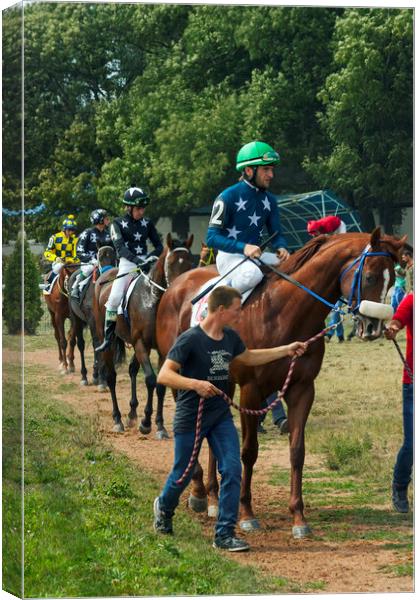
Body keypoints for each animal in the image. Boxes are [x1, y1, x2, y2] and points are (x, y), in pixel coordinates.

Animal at [68, 245, 116, 390]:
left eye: (114, 256)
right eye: (100, 257)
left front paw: (101, 377)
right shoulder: (92, 320)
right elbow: (97, 344)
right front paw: (101, 379)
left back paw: (95, 374)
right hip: (76, 319)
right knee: (81, 344)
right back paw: (84, 376)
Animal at [94, 233, 194, 436]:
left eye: (191, 263)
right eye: (171, 264)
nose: (181, 290)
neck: (153, 298)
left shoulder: (163, 349)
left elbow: (161, 385)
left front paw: (160, 425)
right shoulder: (141, 343)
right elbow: (150, 379)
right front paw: (146, 422)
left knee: (132, 369)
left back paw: (132, 414)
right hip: (108, 340)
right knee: (111, 377)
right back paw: (118, 419)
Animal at [156, 231, 406, 540]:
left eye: (392, 281)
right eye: (370, 277)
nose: (373, 327)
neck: (282, 312)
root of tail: (175, 286)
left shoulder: (303, 388)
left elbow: (297, 450)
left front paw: (298, 517)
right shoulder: (251, 389)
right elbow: (249, 451)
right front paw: (247, 513)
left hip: (219, 384)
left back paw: (214, 498)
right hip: (183, 378)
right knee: (195, 431)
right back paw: (200, 492)